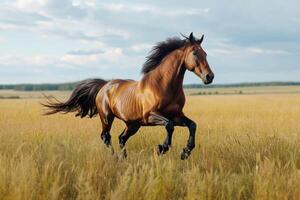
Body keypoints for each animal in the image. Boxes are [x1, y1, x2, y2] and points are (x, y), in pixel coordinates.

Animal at [43, 32, 214, 159]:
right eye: (194, 52)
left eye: (205, 53)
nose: (209, 77)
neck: (163, 85)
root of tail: (104, 86)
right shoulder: (150, 116)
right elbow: (169, 125)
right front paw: (162, 148)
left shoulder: (177, 115)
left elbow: (192, 125)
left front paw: (185, 152)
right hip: (107, 117)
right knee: (106, 136)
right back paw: (115, 158)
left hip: (133, 124)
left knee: (121, 138)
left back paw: (124, 157)